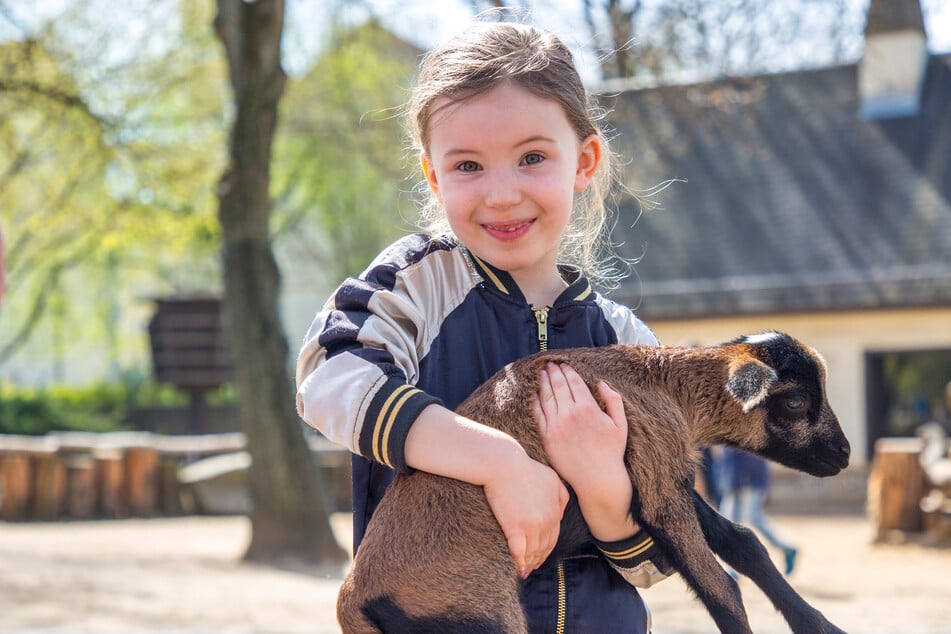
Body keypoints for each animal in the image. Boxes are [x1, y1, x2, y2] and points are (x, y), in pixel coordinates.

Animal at [338, 334, 852, 628]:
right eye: (795, 402)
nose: (844, 454)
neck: (666, 388)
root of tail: (352, 603)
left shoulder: (664, 477)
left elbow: (744, 543)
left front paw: (820, 625)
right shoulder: (659, 485)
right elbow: (724, 591)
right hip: (473, 610)